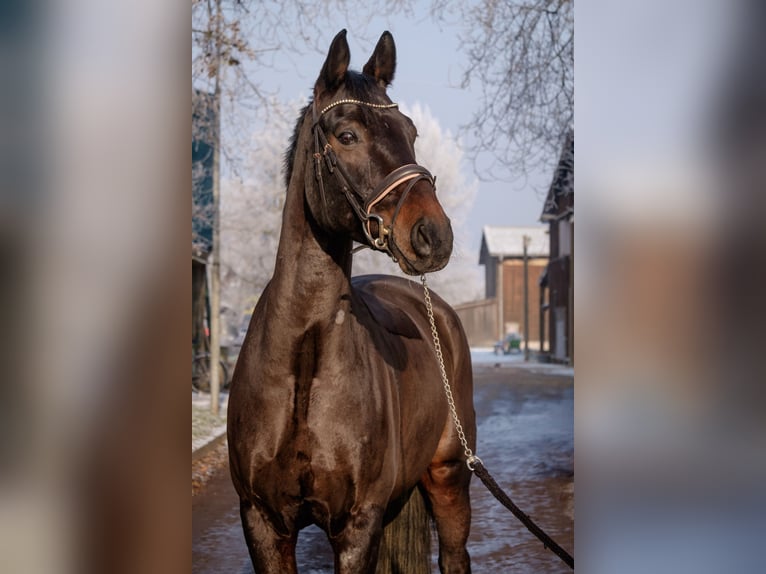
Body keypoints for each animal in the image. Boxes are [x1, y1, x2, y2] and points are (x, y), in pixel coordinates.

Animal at [228, 29, 476, 572]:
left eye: (410, 131)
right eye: (346, 135)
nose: (434, 235)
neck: (303, 367)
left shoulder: (358, 525)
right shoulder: (262, 523)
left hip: (449, 476)